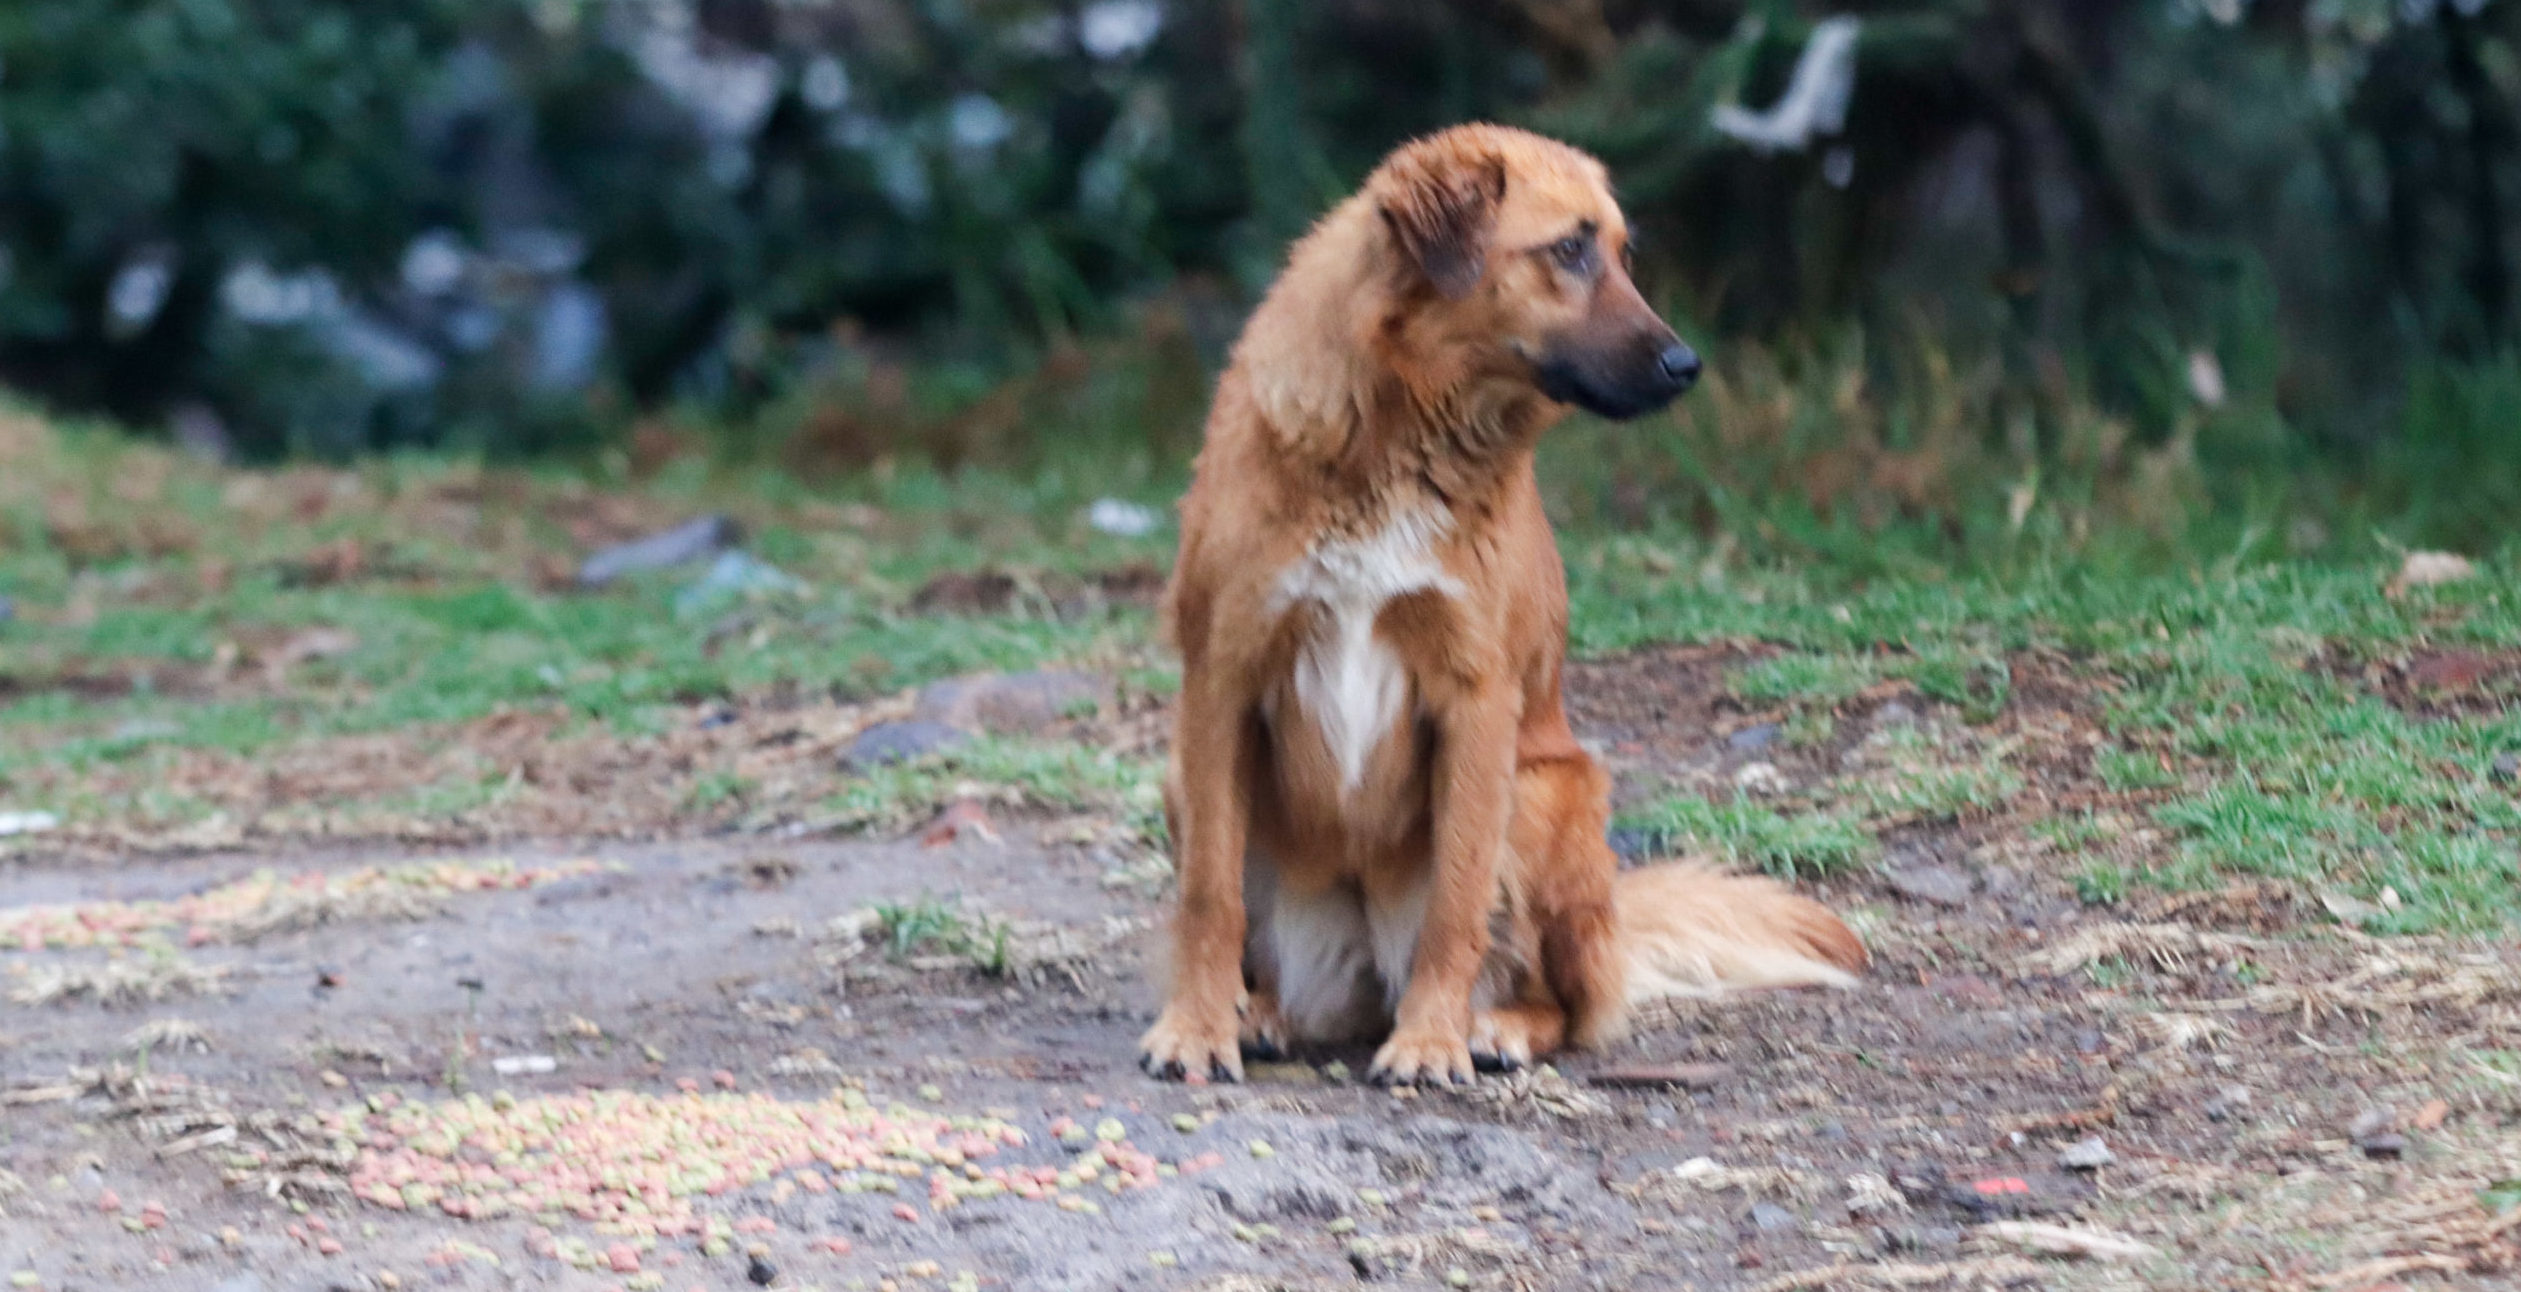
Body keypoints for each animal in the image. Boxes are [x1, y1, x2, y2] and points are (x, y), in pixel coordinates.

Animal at [1134, 126, 1865, 1085]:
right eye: (1569, 249)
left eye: (1622, 254)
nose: (1687, 367)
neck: (1400, 433)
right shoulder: (1222, 677)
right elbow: (1207, 896)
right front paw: (1194, 1026)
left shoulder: (1475, 697)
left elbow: (1457, 903)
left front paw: (1430, 1040)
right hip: (1182, 781)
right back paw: (1258, 1011)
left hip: (1545, 792)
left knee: (1568, 1001)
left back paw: (1492, 1027)